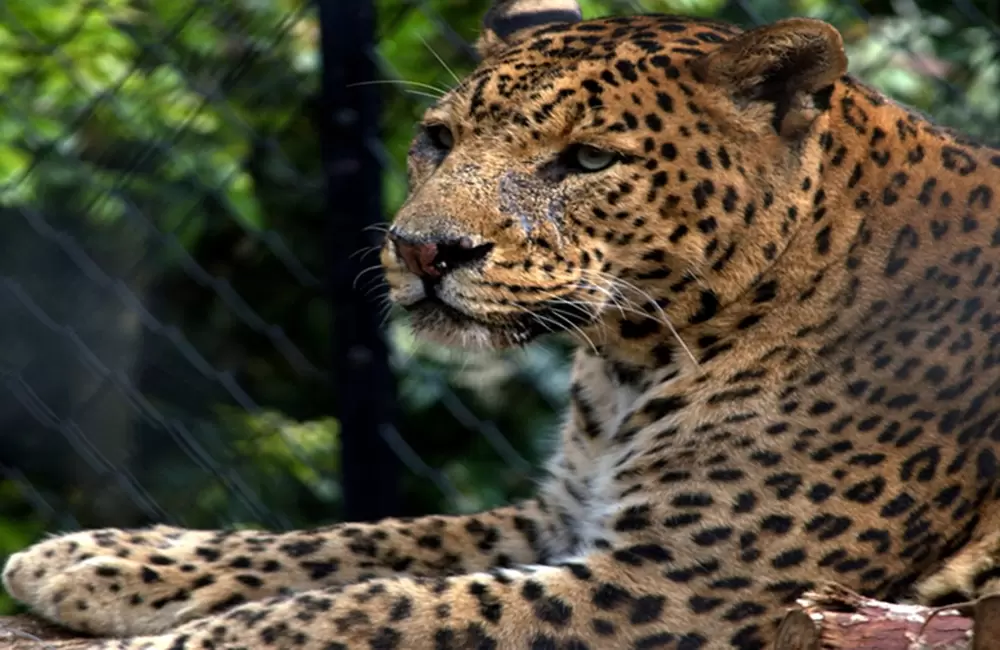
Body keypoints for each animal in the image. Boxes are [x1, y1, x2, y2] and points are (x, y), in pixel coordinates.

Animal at [5, 0, 1000, 644]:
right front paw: (105, 559)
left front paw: (170, 638)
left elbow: (381, 605)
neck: (632, 362)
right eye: (439, 140)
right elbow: (371, 540)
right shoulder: (567, 512)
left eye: (588, 160)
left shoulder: (682, 586)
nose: (420, 251)